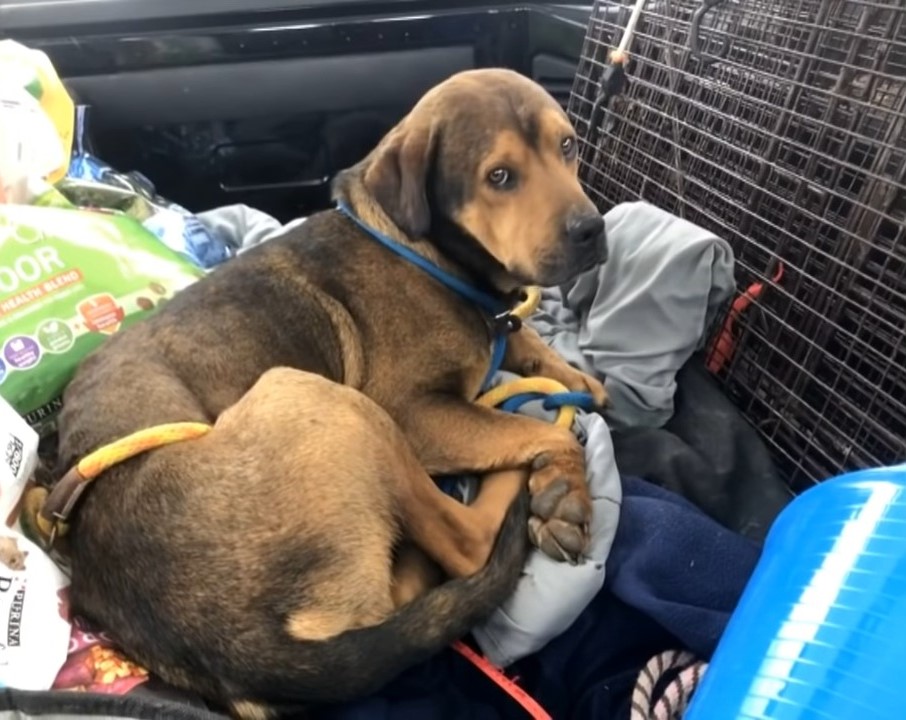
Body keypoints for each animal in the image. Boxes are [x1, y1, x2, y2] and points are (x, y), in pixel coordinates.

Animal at [54, 66, 608, 716]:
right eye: (499, 177)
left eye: (567, 146)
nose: (592, 230)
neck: (430, 253)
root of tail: (236, 649)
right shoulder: (413, 412)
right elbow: (535, 429)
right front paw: (565, 485)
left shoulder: (498, 332)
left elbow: (528, 342)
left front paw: (575, 379)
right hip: (327, 401)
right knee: (467, 540)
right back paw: (520, 478)